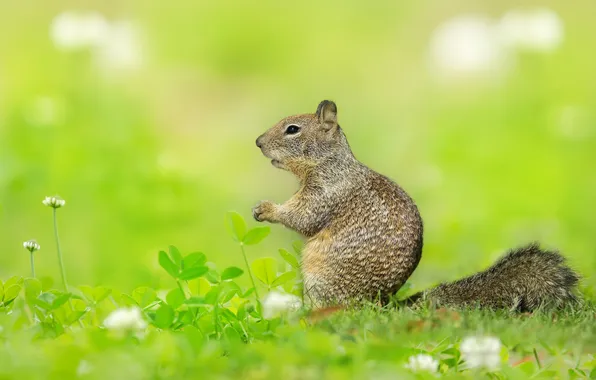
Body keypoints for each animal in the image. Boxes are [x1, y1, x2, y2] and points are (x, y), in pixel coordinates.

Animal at [250, 99, 576, 310]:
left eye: (293, 129)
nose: (258, 142)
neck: (329, 162)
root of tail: (381, 304)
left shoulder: (327, 192)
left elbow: (304, 217)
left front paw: (267, 209)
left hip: (319, 281)